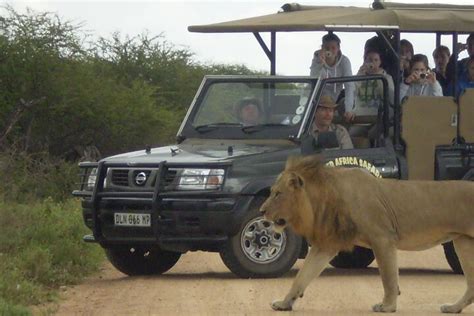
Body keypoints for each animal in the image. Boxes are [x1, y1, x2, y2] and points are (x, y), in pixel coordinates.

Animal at [260, 156, 474, 314]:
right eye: (272, 192)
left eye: (278, 193)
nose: (261, 211)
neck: (323, 201)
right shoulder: (327, 244)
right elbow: (302, 276)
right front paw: (284, 304)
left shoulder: (383, 238)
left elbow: (388, 276)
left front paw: (387, 306)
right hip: (464, 243)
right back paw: (453, 308)